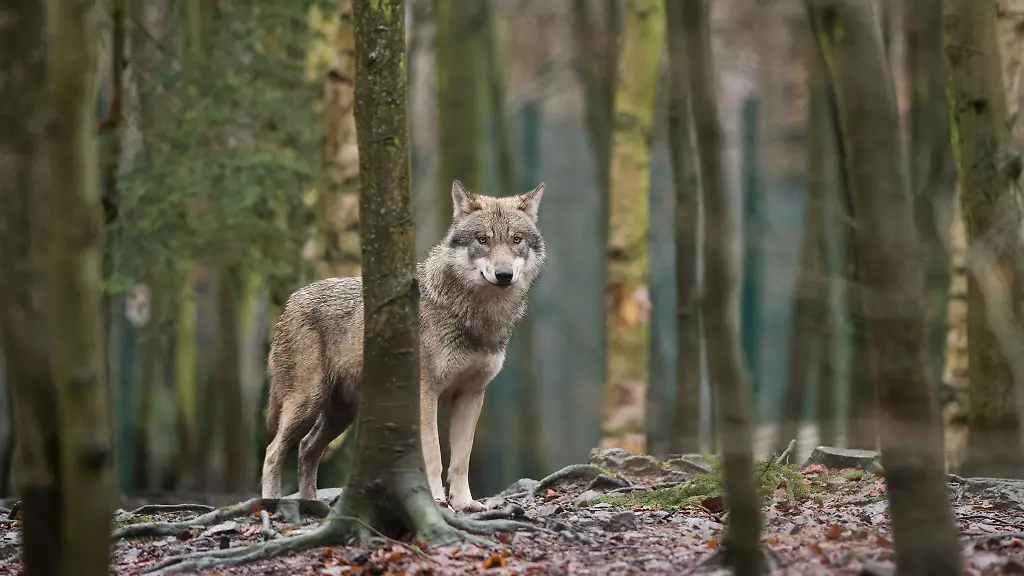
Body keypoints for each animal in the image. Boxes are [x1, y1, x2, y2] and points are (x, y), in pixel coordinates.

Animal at [259, 180, 546, 512]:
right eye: (483, 240)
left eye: (516, 240)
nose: (504, 275)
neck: (476, 316)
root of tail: (291, 300)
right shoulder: (425, 393)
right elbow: (433, 454)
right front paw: (435, 500)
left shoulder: (471, 395)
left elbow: (461, 459)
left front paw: (465, 504)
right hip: (306, 404)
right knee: (273, 451)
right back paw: (271, 504)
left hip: (341, 414)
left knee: (307, 448)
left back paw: (312, 506)